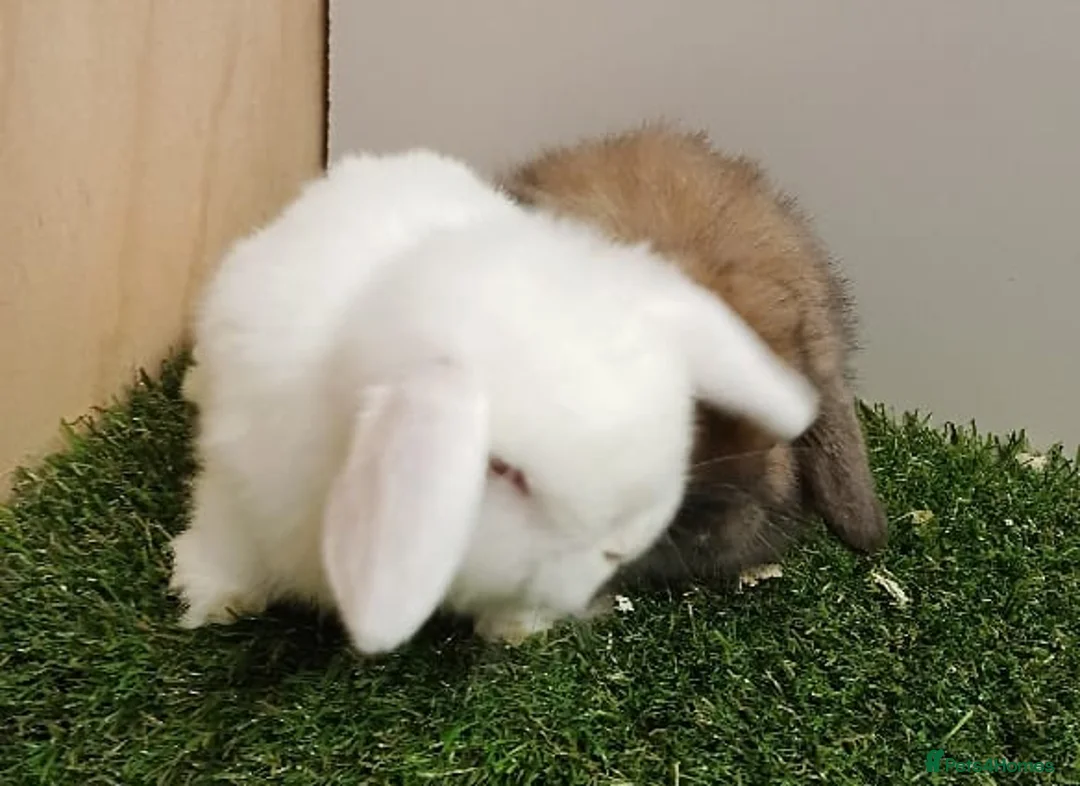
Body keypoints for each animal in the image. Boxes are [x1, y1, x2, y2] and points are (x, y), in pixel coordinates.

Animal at [168, 148, 821, 655]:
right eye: (505, 472)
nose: (623, 545)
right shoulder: (241, 482)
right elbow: (227, 541)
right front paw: (214, 597)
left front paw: (515, 629)